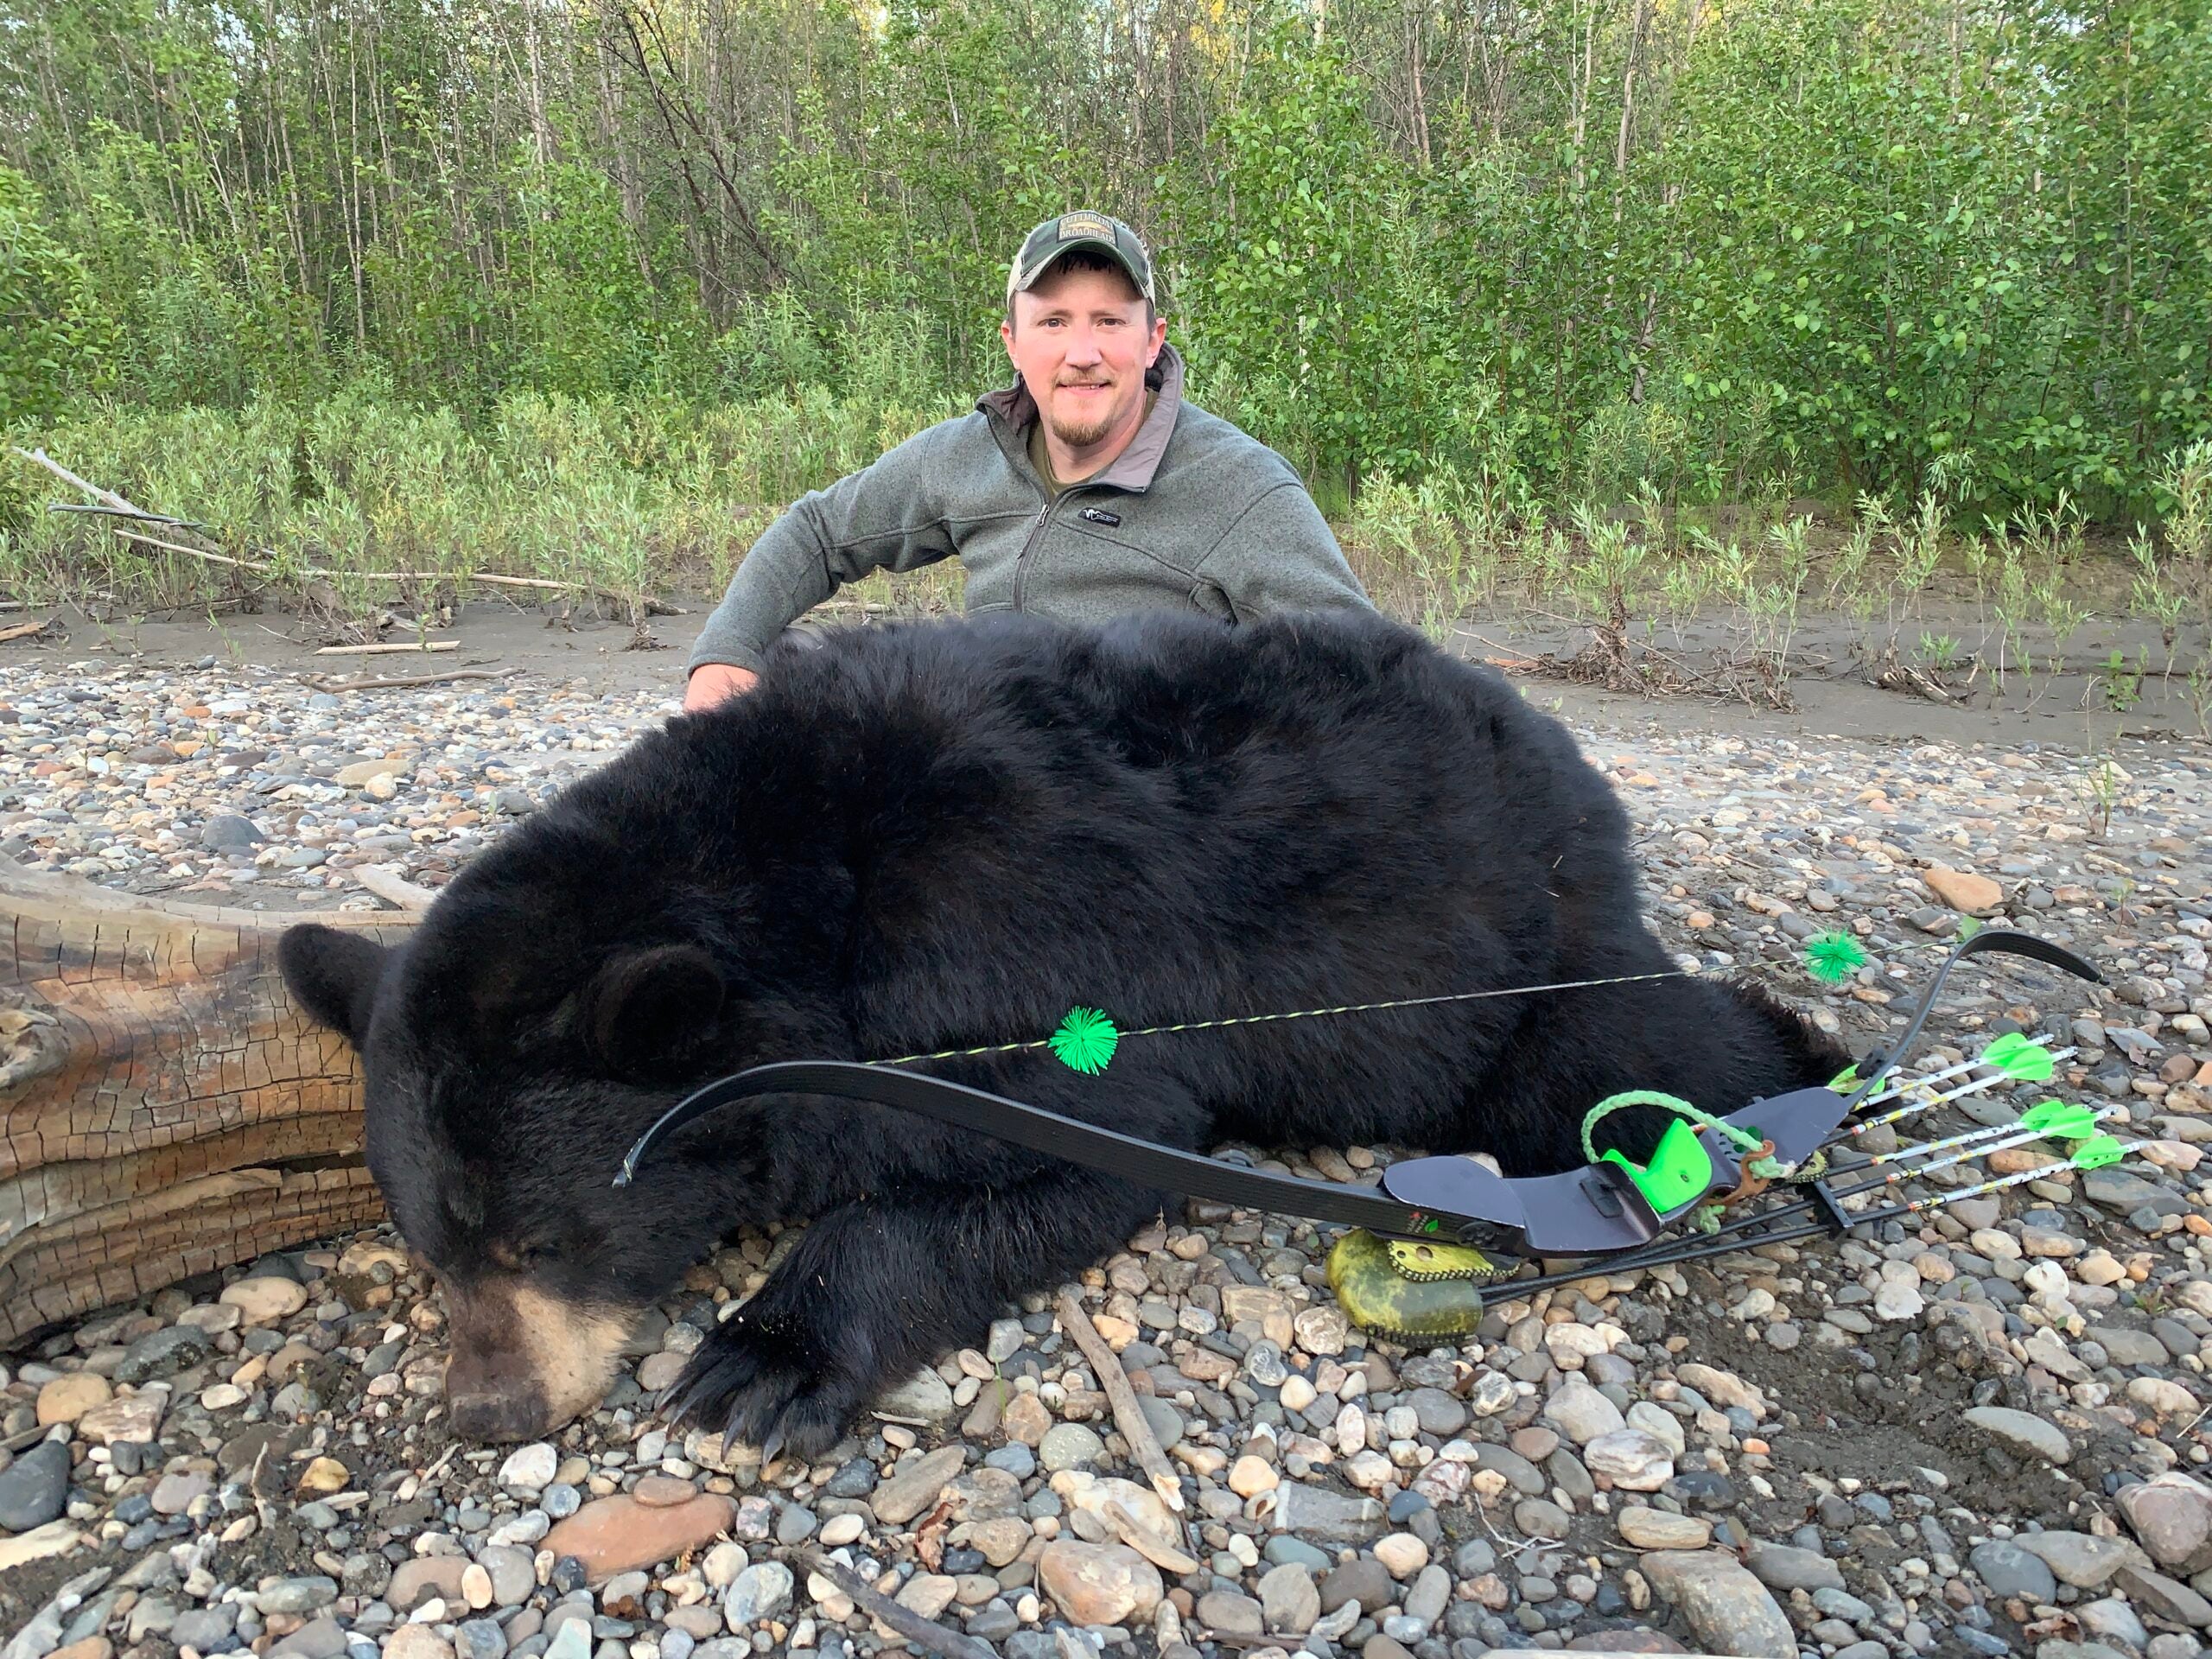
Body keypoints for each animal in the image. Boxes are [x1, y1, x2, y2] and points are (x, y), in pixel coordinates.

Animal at [281, 610, 1849, 1451]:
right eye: (431, 1251)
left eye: (547, 1243)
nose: (486, 1410)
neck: (808, 893)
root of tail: (1572, 756)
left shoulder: (1025, 955)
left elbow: (1087, 1149)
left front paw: (762, 1359)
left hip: (1512, 957)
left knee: (1623, 1056)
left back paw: (1815, 1079)